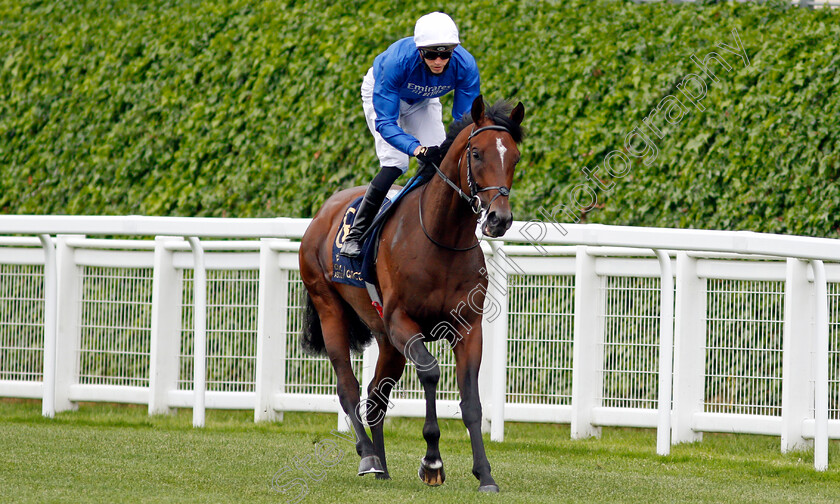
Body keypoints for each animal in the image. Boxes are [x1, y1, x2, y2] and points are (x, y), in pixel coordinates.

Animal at [298, 97, 520, 492]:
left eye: (516, 158)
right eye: (476, 153)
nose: (499, 218)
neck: (441, 239)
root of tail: (323, 212)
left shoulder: (468, 328)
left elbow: (471, 400)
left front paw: (485, 474)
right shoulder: (403, 321)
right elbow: (430, 372)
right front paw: (432, 462)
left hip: (387, 341)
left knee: (375, 396)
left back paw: (382, 465)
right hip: (329, 307)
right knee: (348, 388)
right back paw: (369, 457)